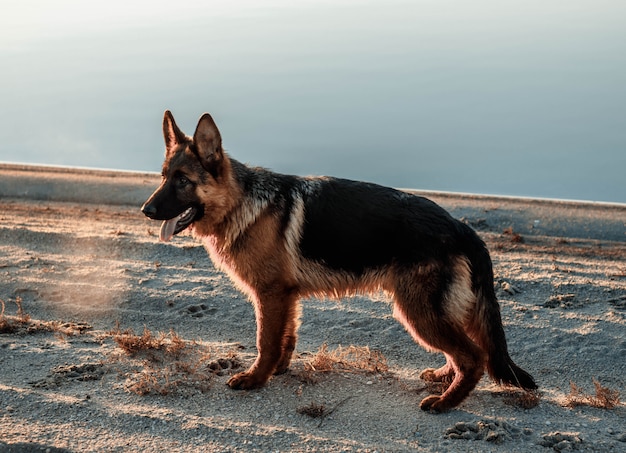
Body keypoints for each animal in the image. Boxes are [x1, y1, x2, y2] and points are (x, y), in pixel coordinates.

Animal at [143, 111, 536, 412]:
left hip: (419, 312)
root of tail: (460, 227)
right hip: (440, 311)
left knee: (474, 357)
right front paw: (278, 370)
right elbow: (286, 338)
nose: (146, 210)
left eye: (183, 181)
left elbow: (266, 341)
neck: (241, 201)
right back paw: (443, 378)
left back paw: (445, 403)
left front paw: (256, 378)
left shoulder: (270, 295)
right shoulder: (286, 297)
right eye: (163, 177)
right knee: (466, 353)